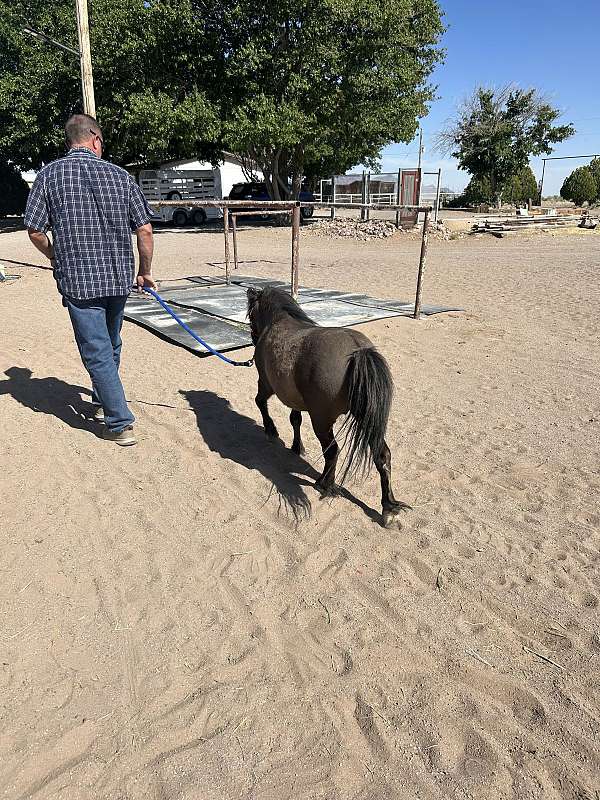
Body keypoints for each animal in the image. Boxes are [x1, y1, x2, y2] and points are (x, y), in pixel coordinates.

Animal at [247, 286, 409, 526]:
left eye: (250, 316)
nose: (253, 337)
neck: (278, 320)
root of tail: (359, 351)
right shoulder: (296, 400)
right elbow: (295, 419)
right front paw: (297, 447)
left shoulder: (266, 384)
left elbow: (260, 403)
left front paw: (271, 431)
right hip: (366, 420)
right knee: (382, 455)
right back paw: (388, 507)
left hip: (322, 421)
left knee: (332, 451)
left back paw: (325, 483)